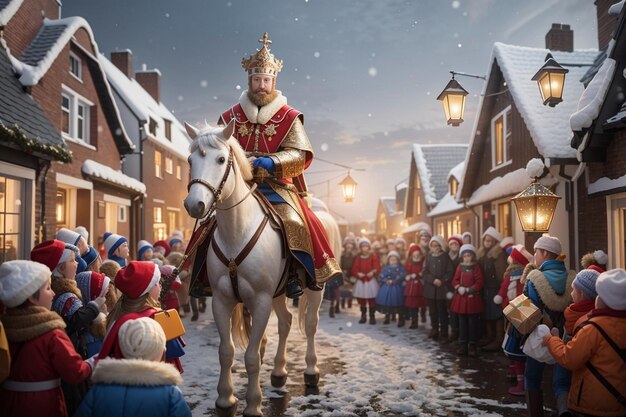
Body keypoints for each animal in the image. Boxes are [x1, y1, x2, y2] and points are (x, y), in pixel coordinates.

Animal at [182, 120, 324, 416]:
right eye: (190, 160)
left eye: (221, 159)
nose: (194, 205)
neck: (237, 230)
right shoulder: (222, 300)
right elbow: (226, 351)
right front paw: (226, 399)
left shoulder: (259, 301)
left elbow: (251, 356)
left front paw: (253, 404)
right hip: (279, 293)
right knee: (286, 321)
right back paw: (279, 372)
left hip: (316, 288)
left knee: (310, 324)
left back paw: (310, 371)